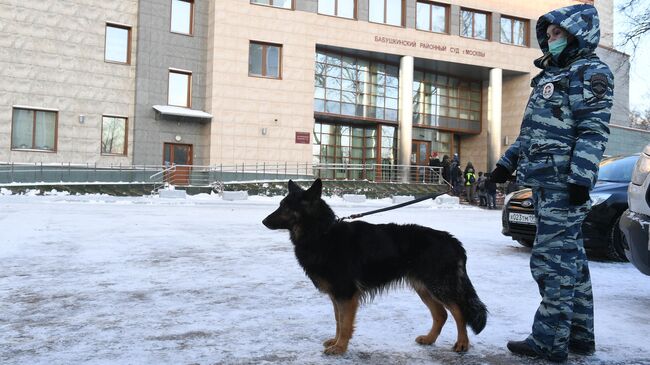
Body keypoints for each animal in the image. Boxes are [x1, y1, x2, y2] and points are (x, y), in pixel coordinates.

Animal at [260, 179, 484, 352]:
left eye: (286, 207)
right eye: (280, 204)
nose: (263, 221)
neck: (322, 233)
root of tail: (453, 240)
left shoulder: (346, 295)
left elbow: (345, 323)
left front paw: (340, 348)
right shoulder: (337, 295)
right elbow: (338, 321)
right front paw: (336, 342)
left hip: (439, 286)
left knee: (459, 312)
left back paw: (462, 343)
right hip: (424, 288)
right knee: (441, 314)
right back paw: (429, 339)